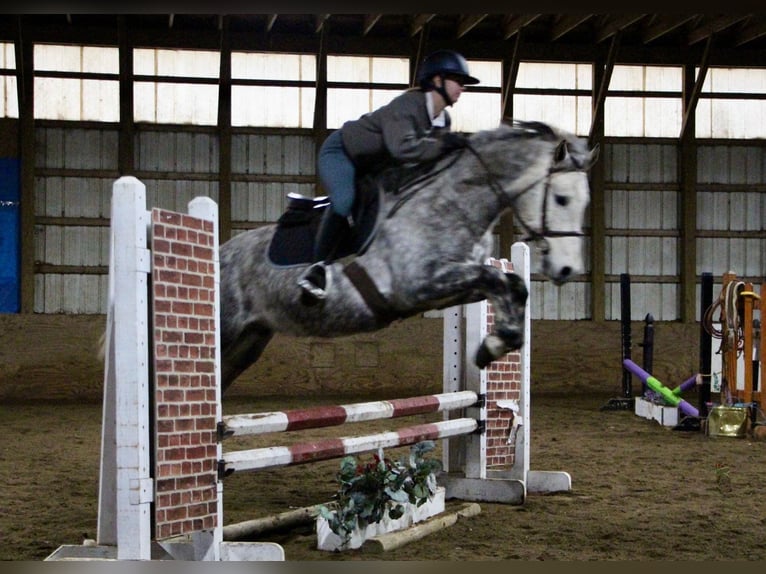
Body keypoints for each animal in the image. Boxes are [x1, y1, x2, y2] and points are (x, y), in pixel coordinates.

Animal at [219, 120, 596, 392]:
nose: (568, 269)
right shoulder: (418, 286)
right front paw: (492, 345)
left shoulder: (450, 286)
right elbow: (496, 278)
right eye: (562, 199)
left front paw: (495, 344)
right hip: (227, 330)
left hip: (250, 342)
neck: (451, 204)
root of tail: (222, 251)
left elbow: (512, 284)